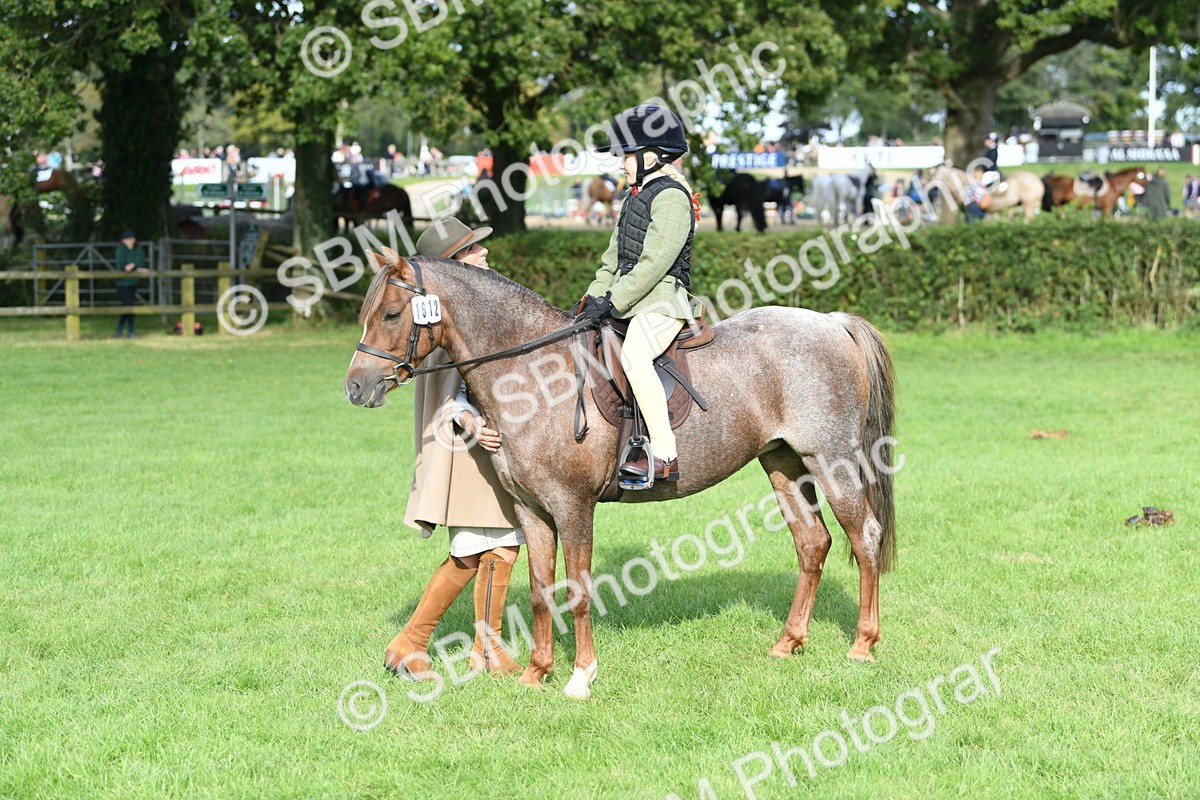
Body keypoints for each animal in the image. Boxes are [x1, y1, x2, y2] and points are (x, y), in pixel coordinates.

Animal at [345, 251, 898, 700]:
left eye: (391, 314)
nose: (355, 386)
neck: (533, 374)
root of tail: (831, 323)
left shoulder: (573, 507)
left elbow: (577, 590)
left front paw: (580, 676)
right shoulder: (532, 511)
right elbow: (540, 590)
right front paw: (535, 673)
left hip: (831, 460)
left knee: (864, 536)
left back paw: (863, 644)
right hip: (782, 463)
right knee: (812, 542)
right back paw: (788, 642)